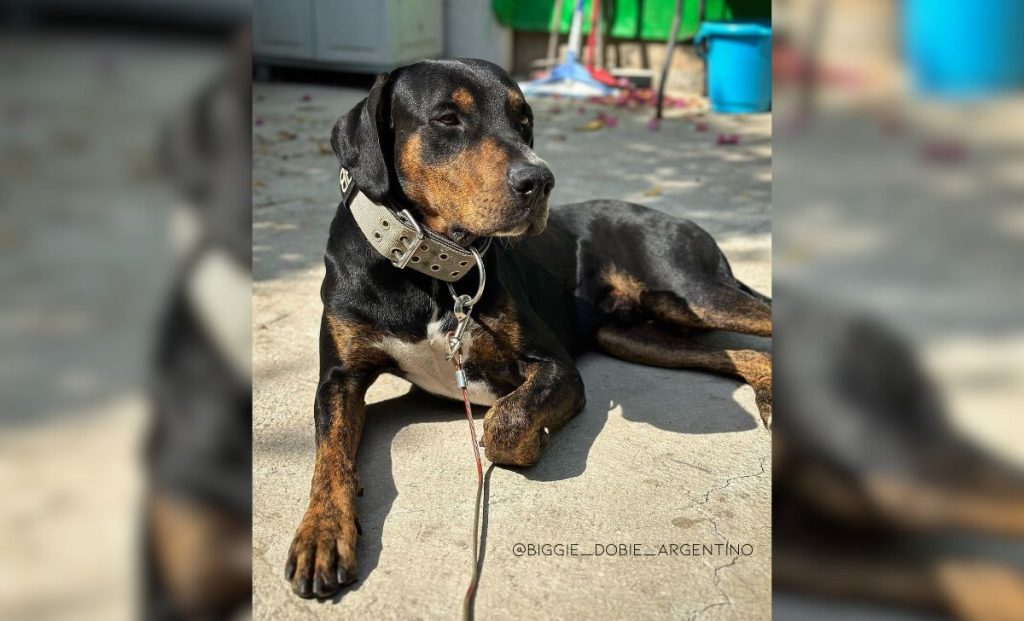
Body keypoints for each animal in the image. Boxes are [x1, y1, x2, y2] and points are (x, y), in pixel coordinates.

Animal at [284, 60, 770, 602]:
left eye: (524, 122)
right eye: (447, 118)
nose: (540, 180)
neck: (430, 268)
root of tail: (684, 221)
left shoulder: (556, 366)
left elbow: (506, 422)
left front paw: (531, 435)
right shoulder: (339, 380)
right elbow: (329, 457)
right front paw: (321, 532)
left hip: (693, 294)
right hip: (632, 334)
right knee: (746, 354)